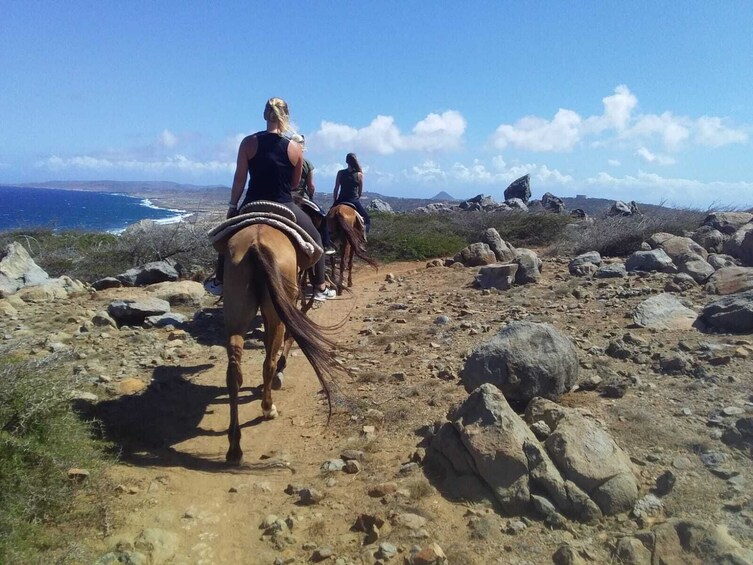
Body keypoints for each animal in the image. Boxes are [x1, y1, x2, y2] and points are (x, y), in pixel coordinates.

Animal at [220, 223, 338, 464]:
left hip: (236, 312)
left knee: (234, 372)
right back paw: (268, 408)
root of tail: (256, 243)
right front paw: (280, 372)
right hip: (277, 310)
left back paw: (234, 446)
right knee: (268, 364)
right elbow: (287, 338)